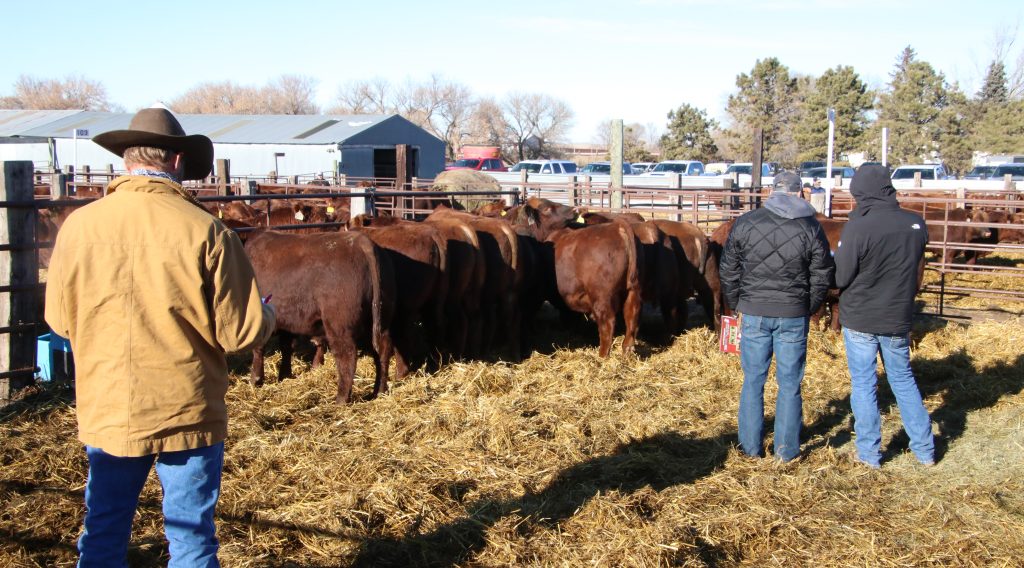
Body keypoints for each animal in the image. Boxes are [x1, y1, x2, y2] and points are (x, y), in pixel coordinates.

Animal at [244, 230, 395, 403]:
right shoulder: (287, 322)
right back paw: (379, 391)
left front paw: (256, 379)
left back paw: (341, 399)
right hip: (381, 320)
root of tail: (362, 242)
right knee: (382, 351)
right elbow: (286, 347)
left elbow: (259, 349)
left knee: (347, 356)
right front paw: (284, 375)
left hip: (339, 325)